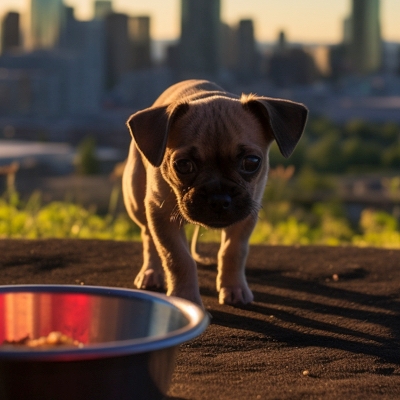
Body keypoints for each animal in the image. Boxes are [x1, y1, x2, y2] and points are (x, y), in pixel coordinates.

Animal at [123, 80, 308, 306]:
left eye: (251, 162)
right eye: (183, 165)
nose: (219, 199)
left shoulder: (246, 215)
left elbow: (233, 251)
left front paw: (234, 288)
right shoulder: (162, 216)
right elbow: (178, 258)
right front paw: (185, 298)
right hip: (137, 202)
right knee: (148, 235)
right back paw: (151, 272)